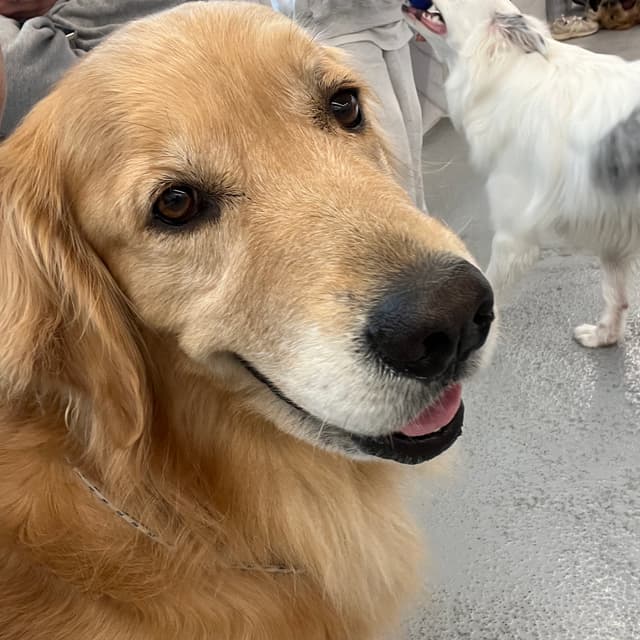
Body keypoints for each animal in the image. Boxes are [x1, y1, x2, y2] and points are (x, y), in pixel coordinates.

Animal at [419, 0, 640, 348]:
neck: (507, 71)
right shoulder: (612, 232)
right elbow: (615, 296)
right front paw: (604, 336)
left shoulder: (513, 238)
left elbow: (489, 294)